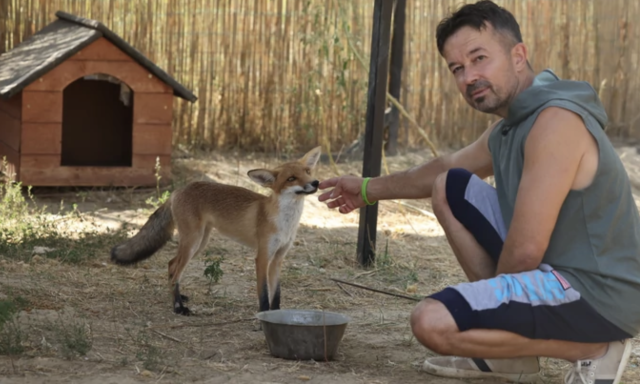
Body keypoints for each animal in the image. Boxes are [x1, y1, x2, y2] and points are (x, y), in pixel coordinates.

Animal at [110, 146, 322, 316]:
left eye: (307, 171)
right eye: (291, 178)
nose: (316, 183)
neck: (286, 222)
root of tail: (179, 190)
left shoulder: (278, 258)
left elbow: (276, 295)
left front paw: (275, 315)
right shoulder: (262, 256)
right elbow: (263, 294)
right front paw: (263, 318)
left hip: (199, 243)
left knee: (171, 265)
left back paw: (178, 296)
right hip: (192, 242)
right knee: (176, 269)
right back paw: (178, 307)